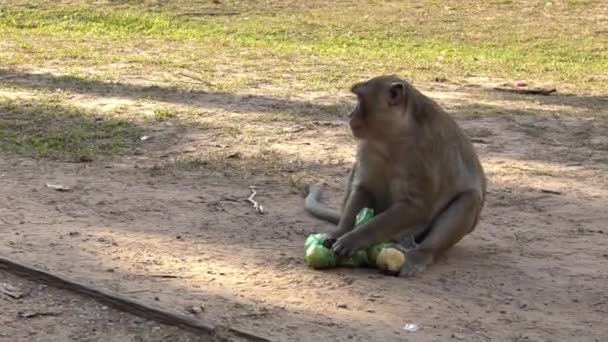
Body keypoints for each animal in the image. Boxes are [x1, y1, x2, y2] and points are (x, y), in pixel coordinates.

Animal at [306, 75, 486, 278]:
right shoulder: (367, 146)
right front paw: (340, 232)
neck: (393, 138)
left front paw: (353, 238)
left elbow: (417, 207)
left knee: (469, 199)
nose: (350, 115)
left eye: (360, 99)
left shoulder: (424, 153)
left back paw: (421, 254)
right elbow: (364, 188)